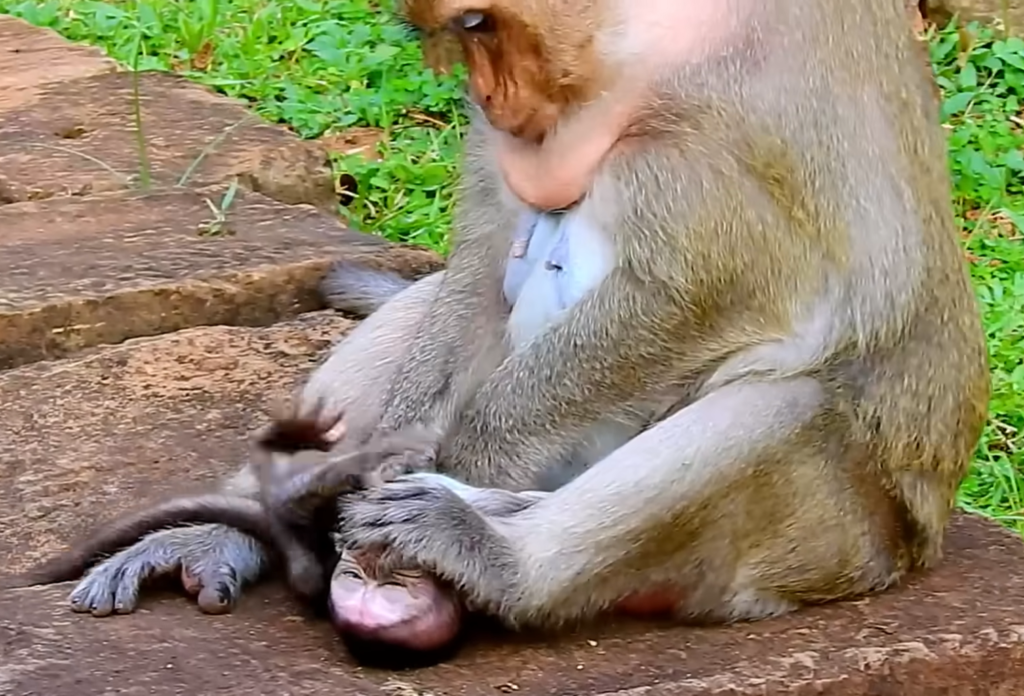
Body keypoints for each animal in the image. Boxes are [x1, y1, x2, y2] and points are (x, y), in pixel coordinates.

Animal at [61, 0, 989, 660]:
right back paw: (236, 528)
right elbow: (483, 249)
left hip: (830, 535)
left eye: (480, 26)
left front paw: (460, 474)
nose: (491, 94)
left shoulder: (723, 86)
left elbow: (711, 283)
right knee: (426, 307)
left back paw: (493, 554)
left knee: (778, 407)